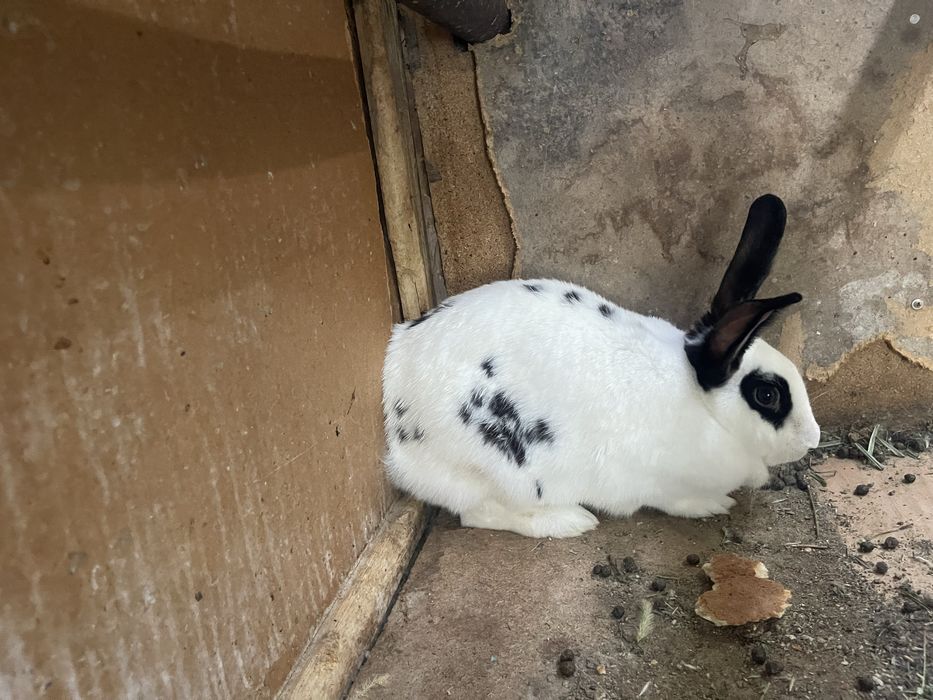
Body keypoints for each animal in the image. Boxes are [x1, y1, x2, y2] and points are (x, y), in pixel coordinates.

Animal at [382, 194, 821, 538]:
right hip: (500, 472)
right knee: (479, 514)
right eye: (767, 394)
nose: (813, 439)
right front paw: (715, 504)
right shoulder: (659, 484)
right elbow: (678, 501)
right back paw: (571, 521)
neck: (705, 408)